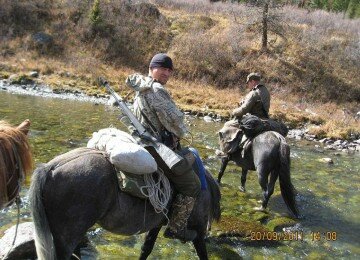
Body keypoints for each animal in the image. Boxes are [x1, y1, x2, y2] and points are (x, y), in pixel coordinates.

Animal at [28, 147, 219, 258]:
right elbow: (202, 253)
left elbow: (146, 248)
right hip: (67, 237)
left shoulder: (157, 225)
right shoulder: (199, 229)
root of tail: (50, 168)